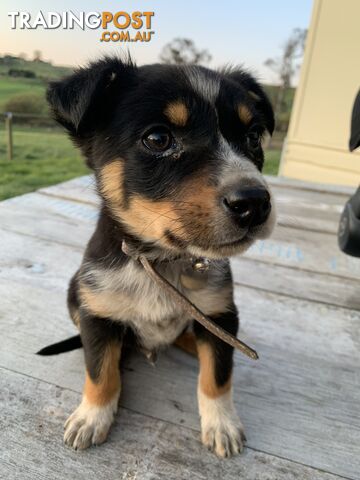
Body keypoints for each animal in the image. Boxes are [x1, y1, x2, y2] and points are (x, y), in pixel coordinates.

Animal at [47, 56, 276, 458]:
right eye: (158, 139)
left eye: (252, 137)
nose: (255, 203)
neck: (160, 262)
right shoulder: (96, 313)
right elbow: (100, 372)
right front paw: (91, 417)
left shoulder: (221, 312)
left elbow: (217, 375)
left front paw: (222, 424)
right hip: (75, 293)